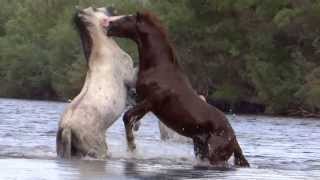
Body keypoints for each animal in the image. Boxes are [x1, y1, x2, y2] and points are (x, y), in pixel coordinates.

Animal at [56, 7, 136, 159]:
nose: (112, 8)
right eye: (95, 8)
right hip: (98, 149)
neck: (103, 48)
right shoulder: (130, 77)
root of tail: (67, 129)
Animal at [105, 11, 250, 167]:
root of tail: (234, 139)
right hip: (200, 148)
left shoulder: (150, 101)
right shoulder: (142, 101)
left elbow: (127, 117)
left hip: (214, 155)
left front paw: (132, 147)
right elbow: (132, 118)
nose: (109, 25)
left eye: (126, 18)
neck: (158, 68)